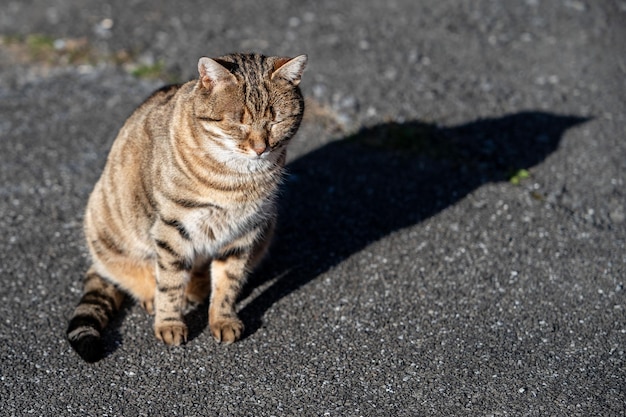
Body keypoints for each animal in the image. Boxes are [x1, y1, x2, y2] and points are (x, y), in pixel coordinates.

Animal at [66, 52, 304, 360]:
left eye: (276, 121)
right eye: (238, 123)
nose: (261, 148)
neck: (238, 178)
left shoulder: (245, 230)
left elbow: (229, 282)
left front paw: (223, 318)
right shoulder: (172, 228)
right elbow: (170, 283)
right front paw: (169, 323)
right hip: (104, 227)